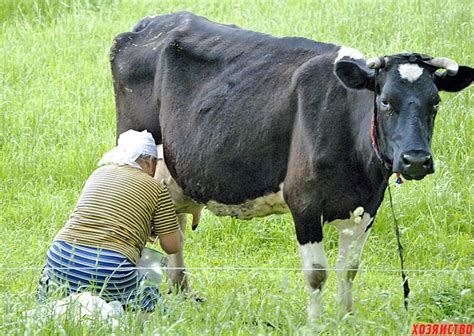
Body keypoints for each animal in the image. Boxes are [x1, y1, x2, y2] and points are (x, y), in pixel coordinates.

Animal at [108, 11, 474, 318]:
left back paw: (181, 290)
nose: (416, 159)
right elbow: (316, 274)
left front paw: (347, 318)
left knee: (176, 229)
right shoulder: (304, 201)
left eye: (435, 102)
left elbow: (349, 269)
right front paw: (316, 323)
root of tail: (149, 24)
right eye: (385, 101)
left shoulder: (368, 205)